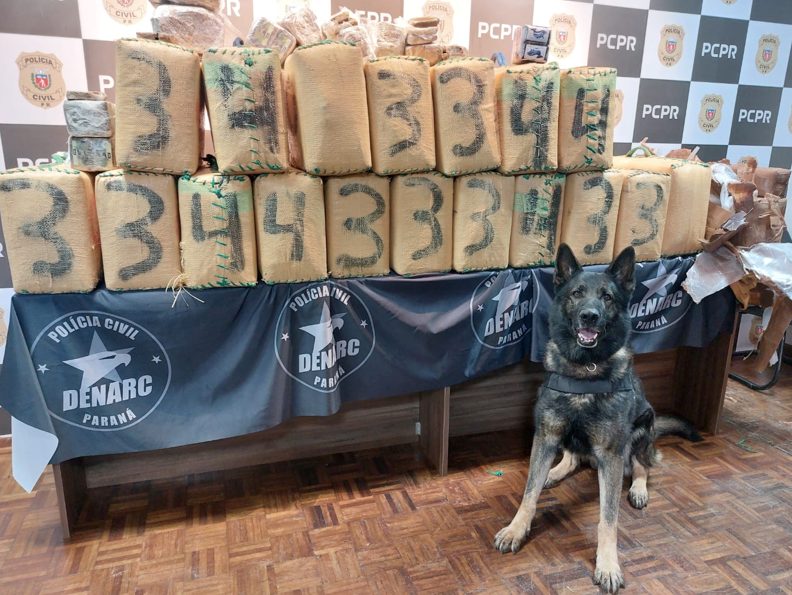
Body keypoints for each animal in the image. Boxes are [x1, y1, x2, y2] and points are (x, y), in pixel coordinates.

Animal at [494, 244, 700, 593]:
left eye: (607, 297)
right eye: (577, 293)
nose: (589, 315)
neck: (585, 370)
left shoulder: (611, 454)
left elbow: (608, 518)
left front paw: (607, 564)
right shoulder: (546, 436)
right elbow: (529, 493)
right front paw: (516, 528)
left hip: (643, 425)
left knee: (643, 463)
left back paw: (639, 488)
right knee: (572, 457)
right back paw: (554, 472)